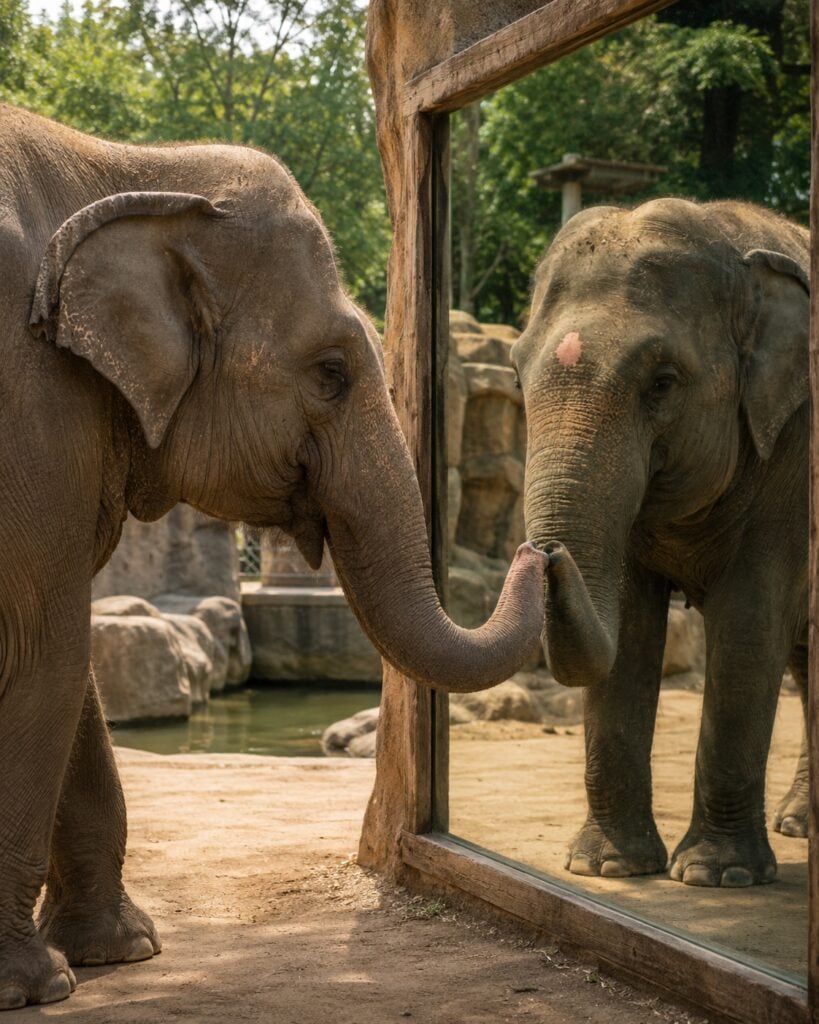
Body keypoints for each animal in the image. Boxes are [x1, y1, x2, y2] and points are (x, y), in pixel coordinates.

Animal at [0, 103, 549, 1009]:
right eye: (331, 372)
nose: (543, 552)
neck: (127, 168)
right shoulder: (27, 402)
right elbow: (39, 651)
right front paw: (33, 986)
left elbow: (65, 662)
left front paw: (121, 951)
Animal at [512, 197, 809, 888]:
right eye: (514, 374)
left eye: (664, 382)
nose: (545, 553)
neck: (732, 237)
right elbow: (630, 624)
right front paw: (607, 868)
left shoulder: (795, 449)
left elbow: (751, 621)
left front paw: (714, 877)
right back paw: (799, 824)